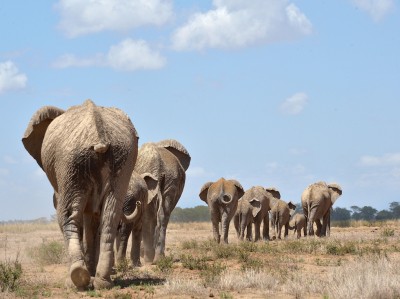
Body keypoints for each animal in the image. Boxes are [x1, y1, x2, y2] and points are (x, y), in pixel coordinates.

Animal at [22, 101, 141, 290]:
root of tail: (99, 136)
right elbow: (93, 218)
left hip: (71, 163)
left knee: (68, 214)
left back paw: (76, 280)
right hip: (121, 161)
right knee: (110, 215)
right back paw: (103, 282)